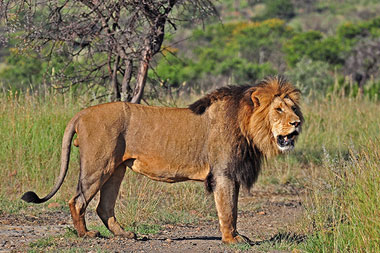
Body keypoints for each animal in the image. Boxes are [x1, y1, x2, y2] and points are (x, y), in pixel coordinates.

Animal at [22, 76, 304, 244]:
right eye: (278, 109)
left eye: (294, 109)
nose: (297, 123)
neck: (247, 125)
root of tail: (81, 113)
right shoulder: (224, 173)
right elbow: (228, 209)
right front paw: (232, 239)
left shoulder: (230, 173)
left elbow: (231, 208)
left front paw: (234, 237)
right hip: (97, 166)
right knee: (77, 200)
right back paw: (87, 235)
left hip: (116, 169)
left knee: (104, 207)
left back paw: (126, 234)